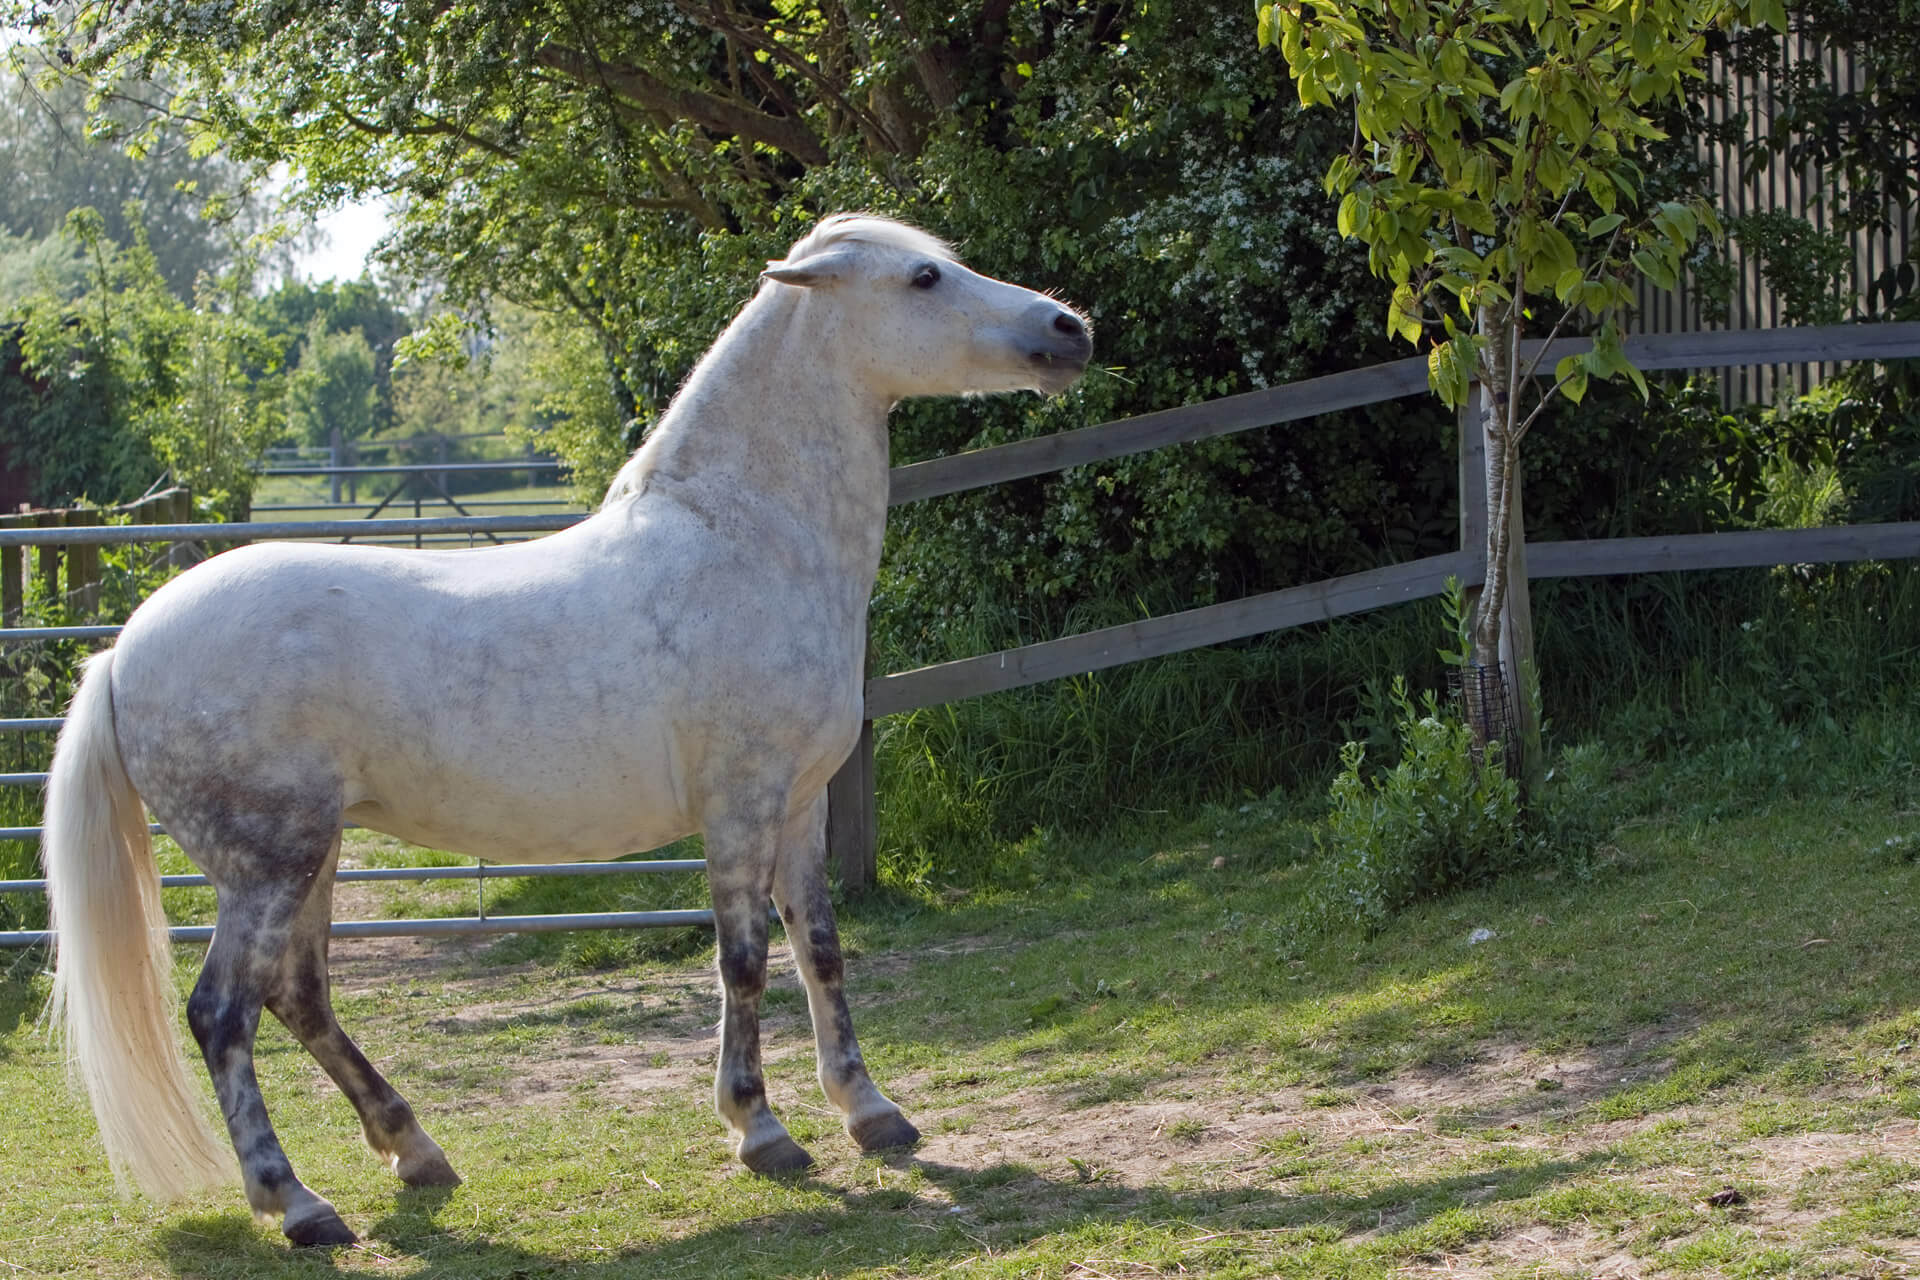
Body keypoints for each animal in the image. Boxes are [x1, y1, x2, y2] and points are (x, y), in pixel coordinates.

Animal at [41, 213, 1093, 1247]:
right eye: (923, 279)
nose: (1070, 329)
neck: (742, 542)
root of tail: (122, 654)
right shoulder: (741, 806)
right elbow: (745, 961)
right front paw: (761, 1131)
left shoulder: (798, 808)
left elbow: (820, 953)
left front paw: (872, 1114)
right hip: (266, 866)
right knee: (223, 1014)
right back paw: (297, 1203)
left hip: (310, 856)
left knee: (297, 996)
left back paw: (415, 1152)